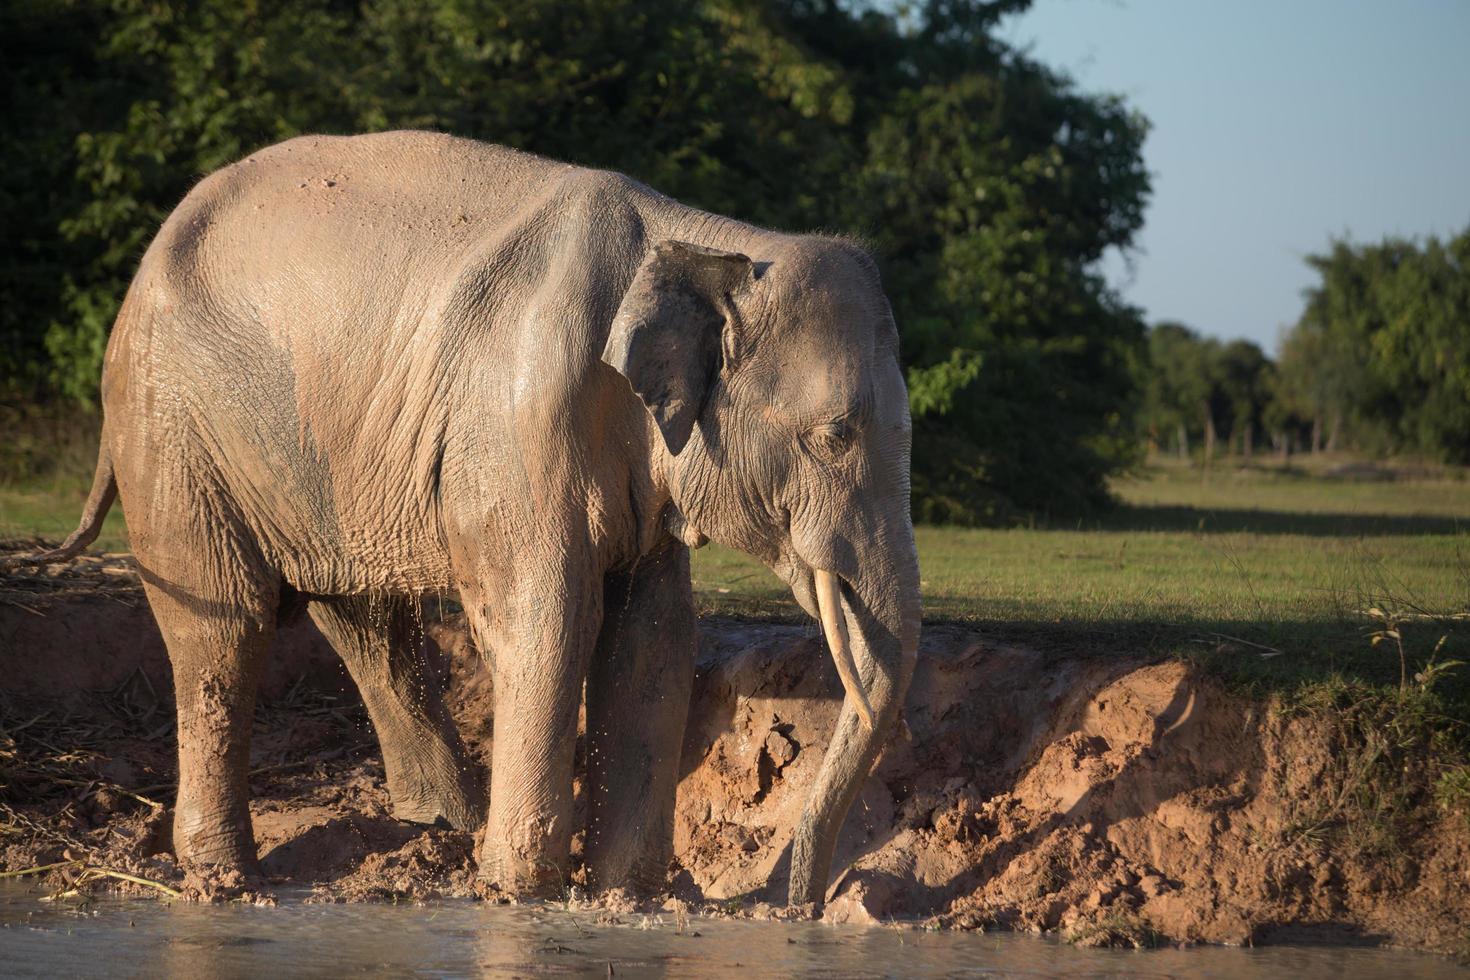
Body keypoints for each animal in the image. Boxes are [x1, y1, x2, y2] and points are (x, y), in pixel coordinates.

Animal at [14, 128, 917, 905]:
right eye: (836, 435)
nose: (799, 905)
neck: (705, 242)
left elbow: (652, 642)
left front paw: (623, 896)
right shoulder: (516, 424)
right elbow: (549, 620)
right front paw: (518, 893)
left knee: (367, 623)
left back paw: (438, 830)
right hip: (174, 426)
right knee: (225, 631)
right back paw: (226, 878)